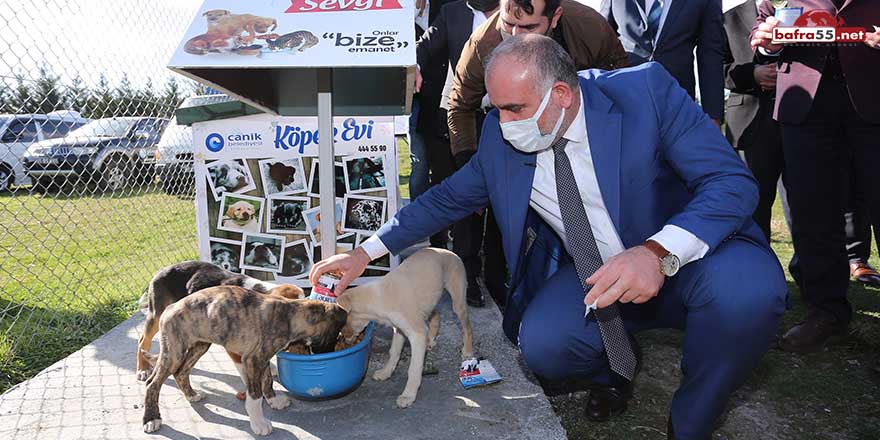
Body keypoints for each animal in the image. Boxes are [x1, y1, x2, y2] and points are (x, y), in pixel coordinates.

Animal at [142, 286, 348, 436]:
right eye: (335, 335)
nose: (330, 351)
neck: (291, 315)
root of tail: (169, 308)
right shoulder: (253, 360)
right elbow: (255, 395)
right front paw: (259, 423)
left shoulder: (263, 358)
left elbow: (267, 381)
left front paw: (273, 401)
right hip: (174, 351)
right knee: (152, 383)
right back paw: (151, 419)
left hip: (200, 345)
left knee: (181, 372)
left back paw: (191, 395)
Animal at [336, 249, 474, 408]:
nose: (342, 339)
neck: (379, 297)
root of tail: (450, 252)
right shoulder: (399, 329)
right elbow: (394, 352)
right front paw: (386, 372)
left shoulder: (417, 333)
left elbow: (413, 369)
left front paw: (408, 395)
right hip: (428, 303)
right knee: (436, 315)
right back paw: (431, 340)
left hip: (458, 302)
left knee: (467, 327)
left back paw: (468, 351)